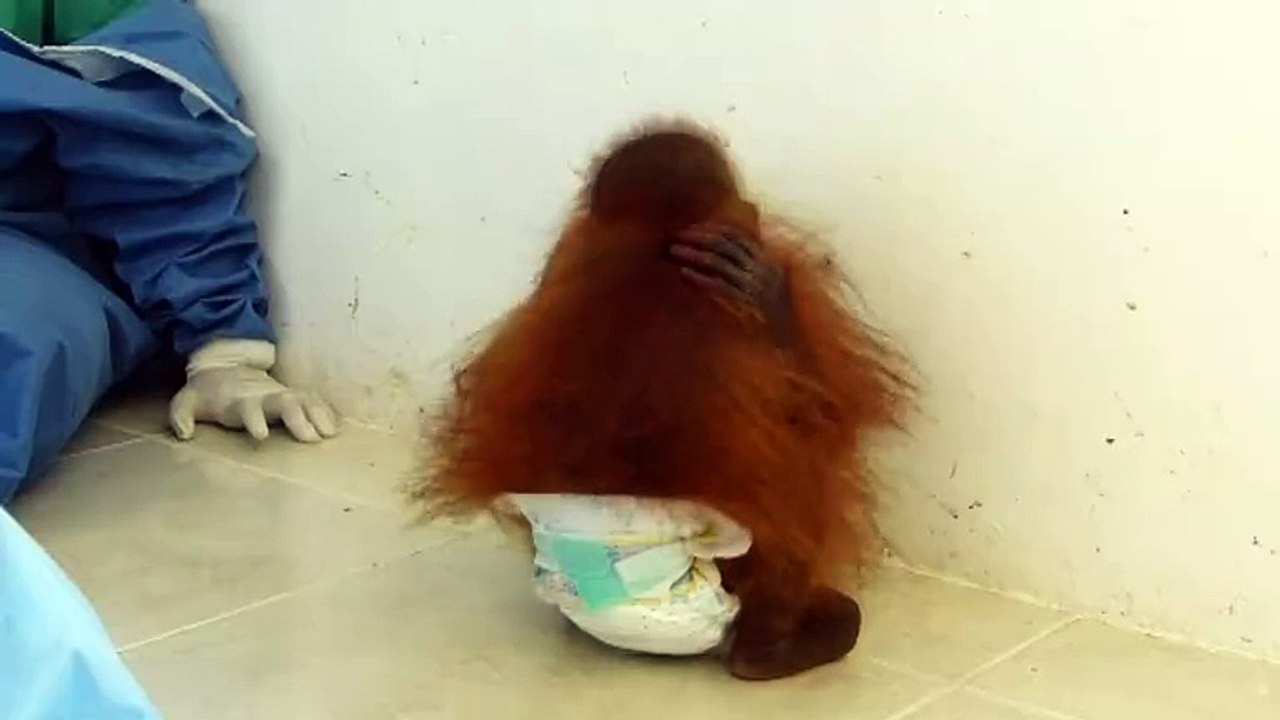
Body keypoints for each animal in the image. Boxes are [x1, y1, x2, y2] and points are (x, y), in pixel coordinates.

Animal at [411, 119, 911, 681]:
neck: (656, 246)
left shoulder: (569, 253)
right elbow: (827, 415)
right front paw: (771, 292)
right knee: (806, 468)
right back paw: (770, 651)